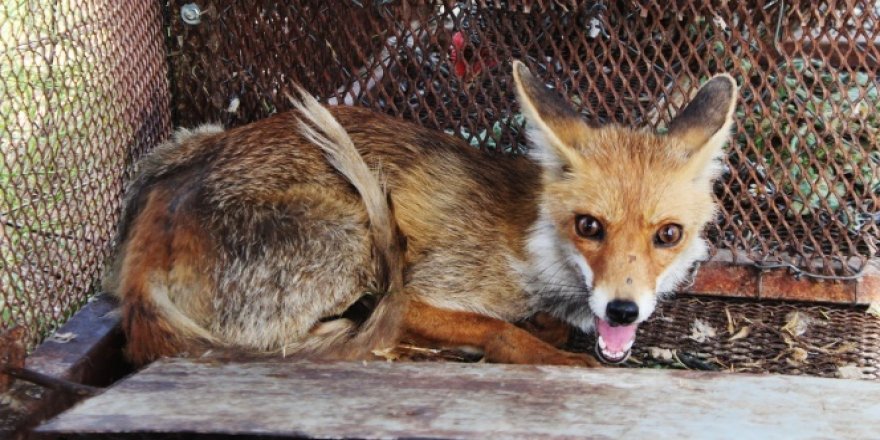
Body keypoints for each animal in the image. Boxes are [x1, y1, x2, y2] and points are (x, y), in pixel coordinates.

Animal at [105, 61, 736, 364]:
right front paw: (558, 358)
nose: (623, 310)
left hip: (190, 139)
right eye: (589, 226)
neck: (535, 252)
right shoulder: (417, 293)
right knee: (298, 345)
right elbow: (499, 329)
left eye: (668, 235)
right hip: (353, 242)